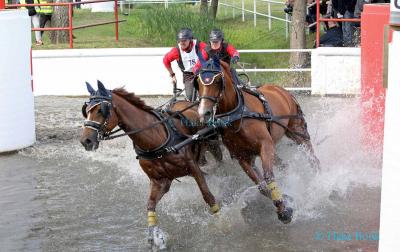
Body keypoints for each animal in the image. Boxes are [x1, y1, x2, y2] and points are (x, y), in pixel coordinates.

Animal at [79, 81, 220, 250]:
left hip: (213, 146)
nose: (85, 141)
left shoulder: (193, 168)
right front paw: (155, 237)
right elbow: (150, 205)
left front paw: (220, 220)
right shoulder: (160, 181)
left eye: (101, 110)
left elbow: (208, 195)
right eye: (86, 110)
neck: (156, 138)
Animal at [195, 58, 320, 223]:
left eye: (217, 81)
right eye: (198, 82)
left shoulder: (266, 145)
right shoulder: (243, 157)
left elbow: (268, 177)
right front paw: (285, 200)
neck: (238, 115)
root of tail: (282, 90)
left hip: (296, 131)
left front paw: (284, 212)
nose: (204, 113)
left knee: (310, 154)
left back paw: (318, 175)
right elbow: (261, 186)